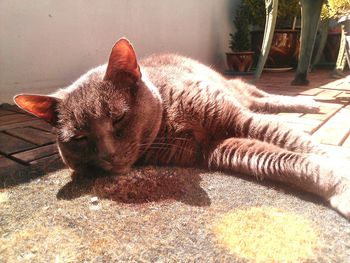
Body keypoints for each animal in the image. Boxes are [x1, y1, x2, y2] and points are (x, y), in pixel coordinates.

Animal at [14, 37, 350, 219]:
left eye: (118, 117)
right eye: (80, 138)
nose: (107, 155)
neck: (170, 123)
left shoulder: (239, 119)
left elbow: (297, 142)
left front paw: (341, 174)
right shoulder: (218, 149)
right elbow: (286, 161)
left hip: (239, 92)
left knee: (265, 98)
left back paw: (308, 103)